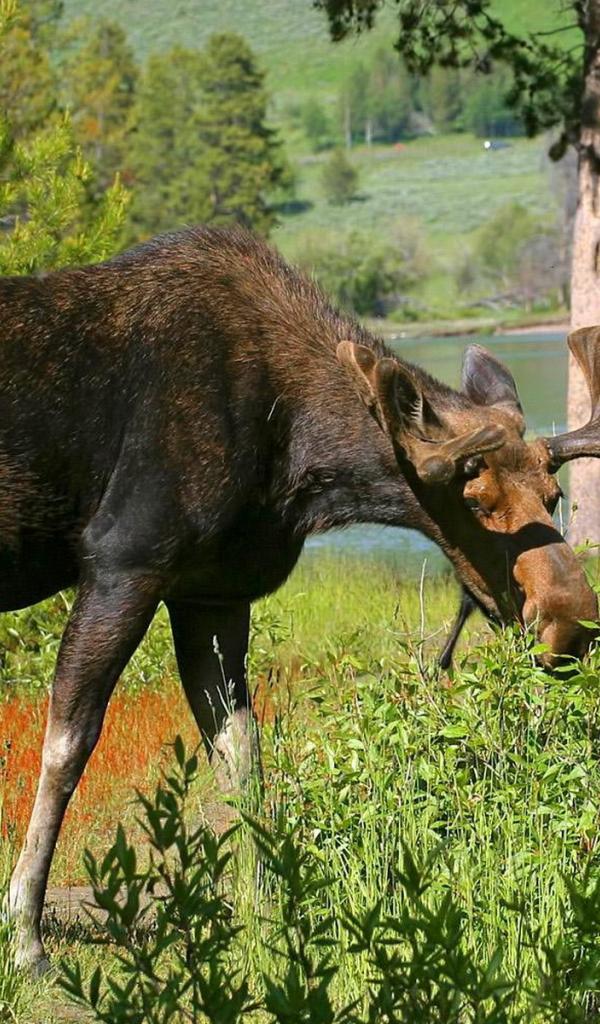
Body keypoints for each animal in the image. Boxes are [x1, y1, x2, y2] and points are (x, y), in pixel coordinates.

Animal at [2, 226, 600, 972]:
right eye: (474, 500)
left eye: (554, 495)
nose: (572, 623)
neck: (300, 469)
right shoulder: (123, 561)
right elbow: (67, 746)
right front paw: (25, 935)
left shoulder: (213, 590)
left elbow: (240, 754)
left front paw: (264, 911)